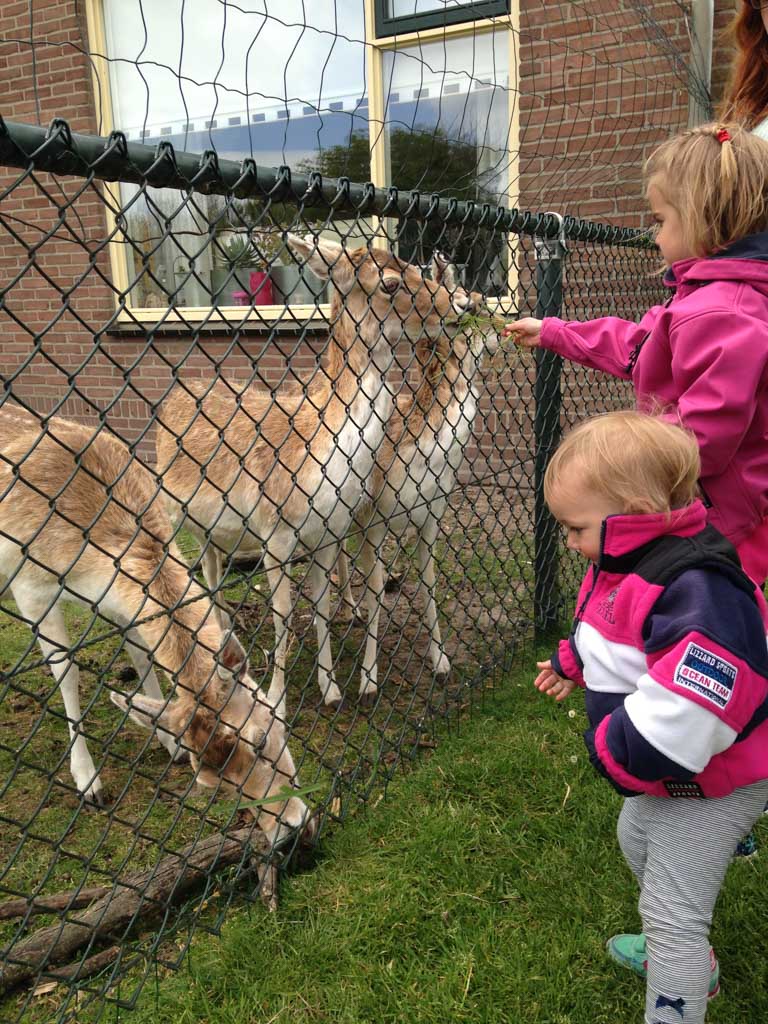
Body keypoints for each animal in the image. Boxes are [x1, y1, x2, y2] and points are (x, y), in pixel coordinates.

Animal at [0, 411, 313, 843]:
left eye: (263, 737)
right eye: (210, 783)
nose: (289, 832)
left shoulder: (117, 597)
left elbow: (143, 656)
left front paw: (169, 743)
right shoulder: (30, 587)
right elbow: (67, 672)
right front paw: (88, 781)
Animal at [156, 235, 475, 716]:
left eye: (415, 265)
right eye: (390, 281)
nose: (459, 304)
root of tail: (173, 393)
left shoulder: (328, 533)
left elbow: (321, 608)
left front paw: (332, 690)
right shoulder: (274, 534)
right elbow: (284, 618)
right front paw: (277, 702)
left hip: (211, 526)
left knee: (210, 566)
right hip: (168, 509)